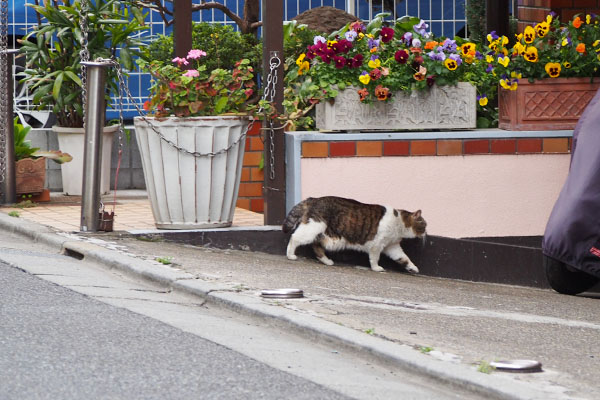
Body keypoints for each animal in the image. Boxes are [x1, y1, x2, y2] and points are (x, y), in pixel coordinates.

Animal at [282, 196, 426, 272]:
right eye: (424, 225)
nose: (426, 233)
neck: (399, 223)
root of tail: (314, 199)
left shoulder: (392, 246)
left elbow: (404, 258)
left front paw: (413, 267)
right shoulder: (377, 245)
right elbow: (375, 258)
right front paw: (376, 268)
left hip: (324, 235)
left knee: (316, 246)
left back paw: (327, 261)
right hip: (313, 228)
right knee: (294, 237)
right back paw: (290, 255)